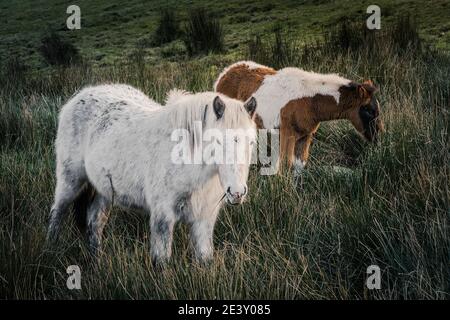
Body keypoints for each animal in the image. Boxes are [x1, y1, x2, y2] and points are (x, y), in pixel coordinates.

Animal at [46, 84, 258, 264]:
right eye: (218, 141)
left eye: (252, 142)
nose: (237, 192)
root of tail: (79, 96)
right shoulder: (163, 216)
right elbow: (161, 260)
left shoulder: (203, 220)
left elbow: (204, 260)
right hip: (70, 181)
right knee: (57, 213)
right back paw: (51, 250)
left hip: (103, 191)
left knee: (95, 221)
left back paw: (97, 261)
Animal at [214, 60, 384, 175]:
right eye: (368, 110)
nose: (377, 137)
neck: (310, 101)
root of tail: (223, 75)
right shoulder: (287, 134)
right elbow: (285, 164)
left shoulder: (305, 136)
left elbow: (298, 165)